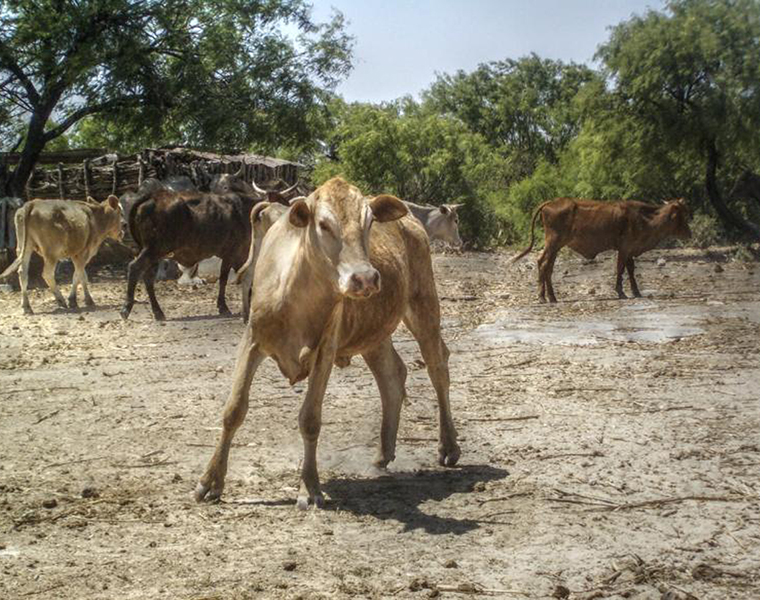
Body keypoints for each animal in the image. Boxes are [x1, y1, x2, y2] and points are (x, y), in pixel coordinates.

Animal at [193, 176, 460, 508]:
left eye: (369, 221)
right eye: (323, 224)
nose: (365, 278)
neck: (295, 295)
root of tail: (412, 221)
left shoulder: (325, 349)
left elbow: (310, 418)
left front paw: (309, 487)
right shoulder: (252, 340)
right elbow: (234, 410)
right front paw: (210, 481)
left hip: (423, 306)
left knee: (438, 366)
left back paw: (448, 446)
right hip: (374, 330)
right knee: (393, 375)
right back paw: (383, 453)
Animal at [512, 198, 692, 302]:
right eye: (682, 215)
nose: (690, 233)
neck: (644, 218)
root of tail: (550, 202)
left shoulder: (629, 249)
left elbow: (631, 270)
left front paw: (636, 292)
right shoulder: (624, 248)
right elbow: (621, 269)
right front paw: (621, 292)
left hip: (556, 246)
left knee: (548, 267)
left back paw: (552, 297)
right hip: (553, 242)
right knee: (543, 263)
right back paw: (542, 297)